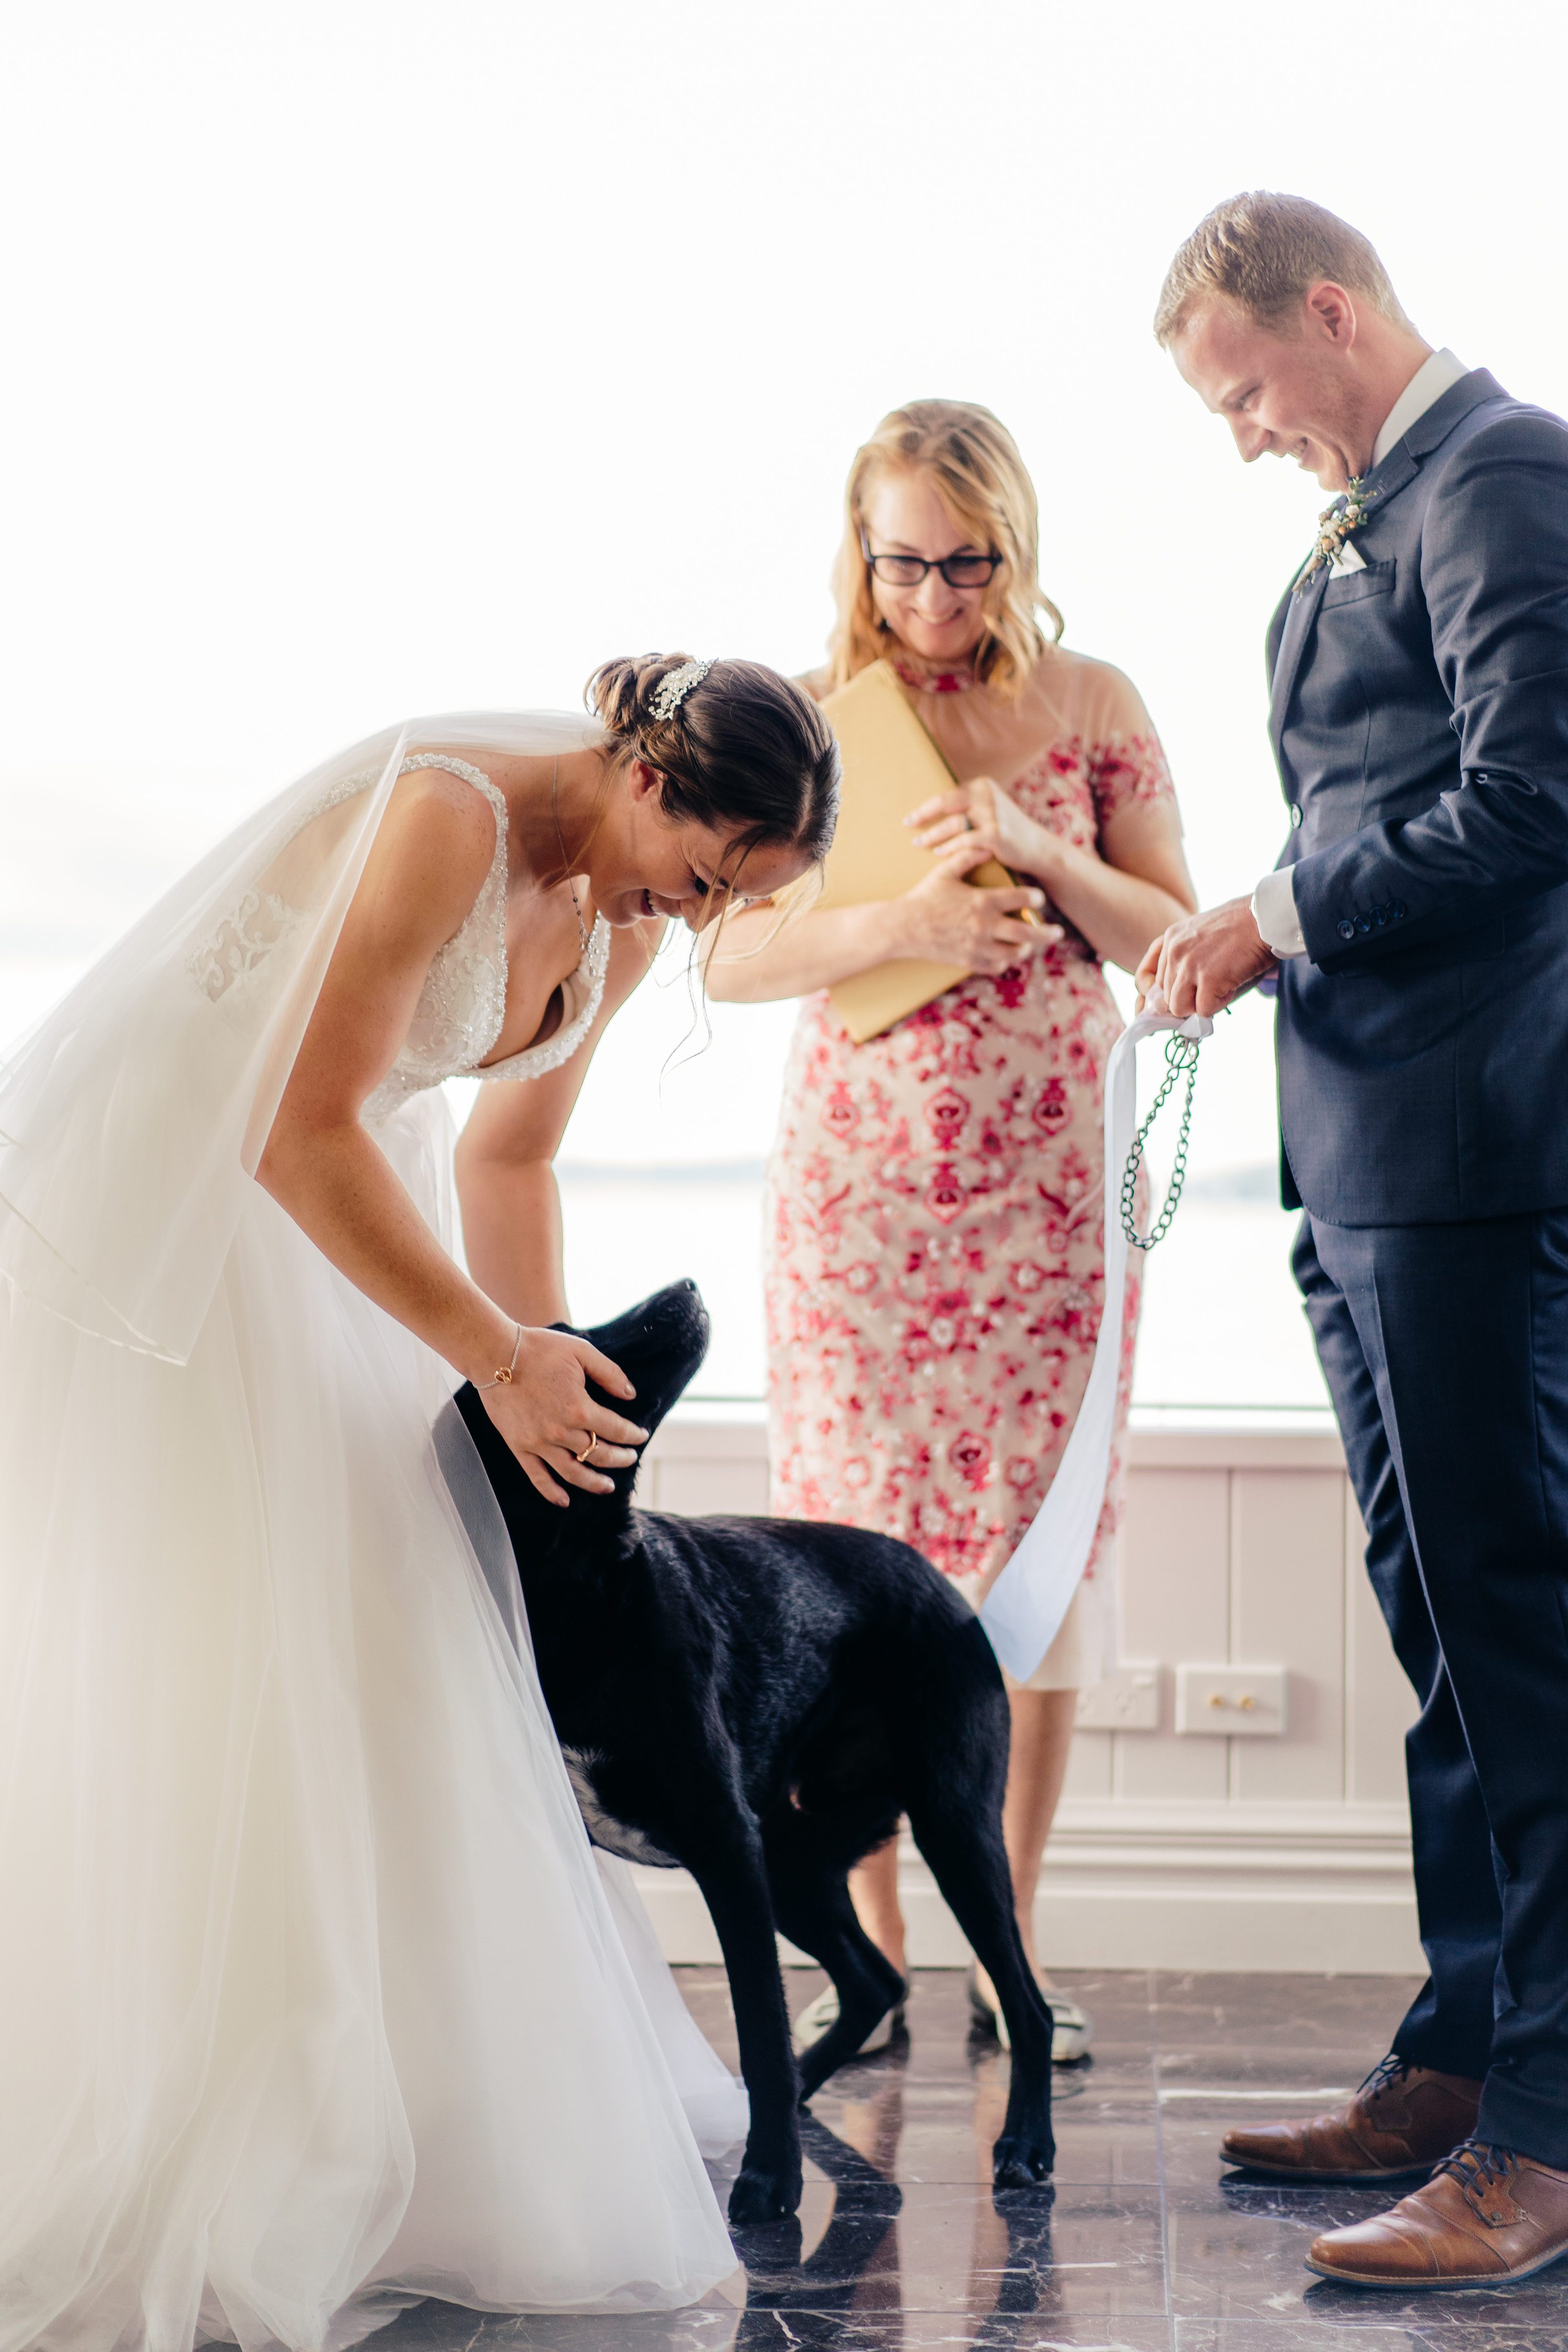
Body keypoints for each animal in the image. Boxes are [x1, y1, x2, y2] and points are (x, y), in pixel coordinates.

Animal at [454, 1289, 1053, 2220]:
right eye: (569, 1339)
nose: (686, 1288)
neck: (576, 1589)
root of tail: (946, 1587)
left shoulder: (725, 1848)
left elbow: (760, 2025)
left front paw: (771, 2179)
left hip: (950, 1831)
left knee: (1025, 2007)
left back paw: (1024, 2143)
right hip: (797, 1861)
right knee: (878, 1981)